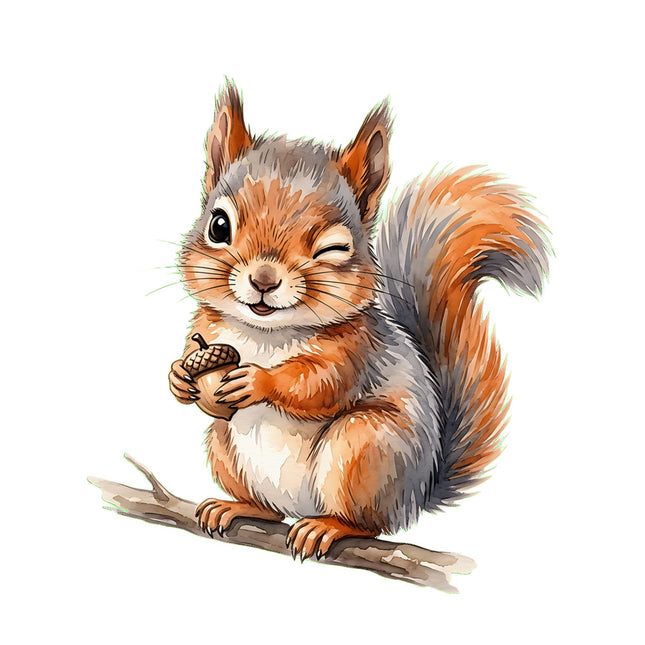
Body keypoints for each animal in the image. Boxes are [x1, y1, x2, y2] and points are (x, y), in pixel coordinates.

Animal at [168, 81, 551, 560]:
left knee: (370, 524)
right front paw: (179, 377)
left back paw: (328, 528)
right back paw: (238, 506)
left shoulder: (356, 350)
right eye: (218, 225)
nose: (263, 280)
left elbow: (319, 384)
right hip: (223, 446)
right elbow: (190, 354)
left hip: (363, 448)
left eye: (334, 248)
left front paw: (259, 381)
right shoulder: (207, 328)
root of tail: (416, 495)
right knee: (268, 508)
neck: (266, 333)